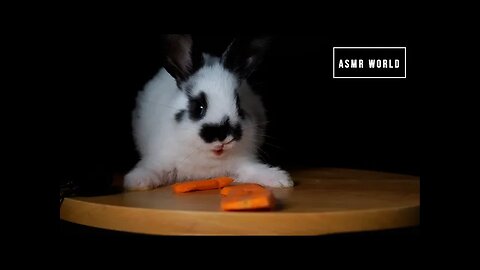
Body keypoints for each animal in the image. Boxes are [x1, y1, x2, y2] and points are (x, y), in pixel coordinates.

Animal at [123, 34, 292, 190]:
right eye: (199, 107)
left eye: (239, 104)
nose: (223, 136)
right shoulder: (162, 158)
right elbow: (153, 169)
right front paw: (136, 181)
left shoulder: (243, 162)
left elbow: (252, 170)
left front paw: (281, 180)